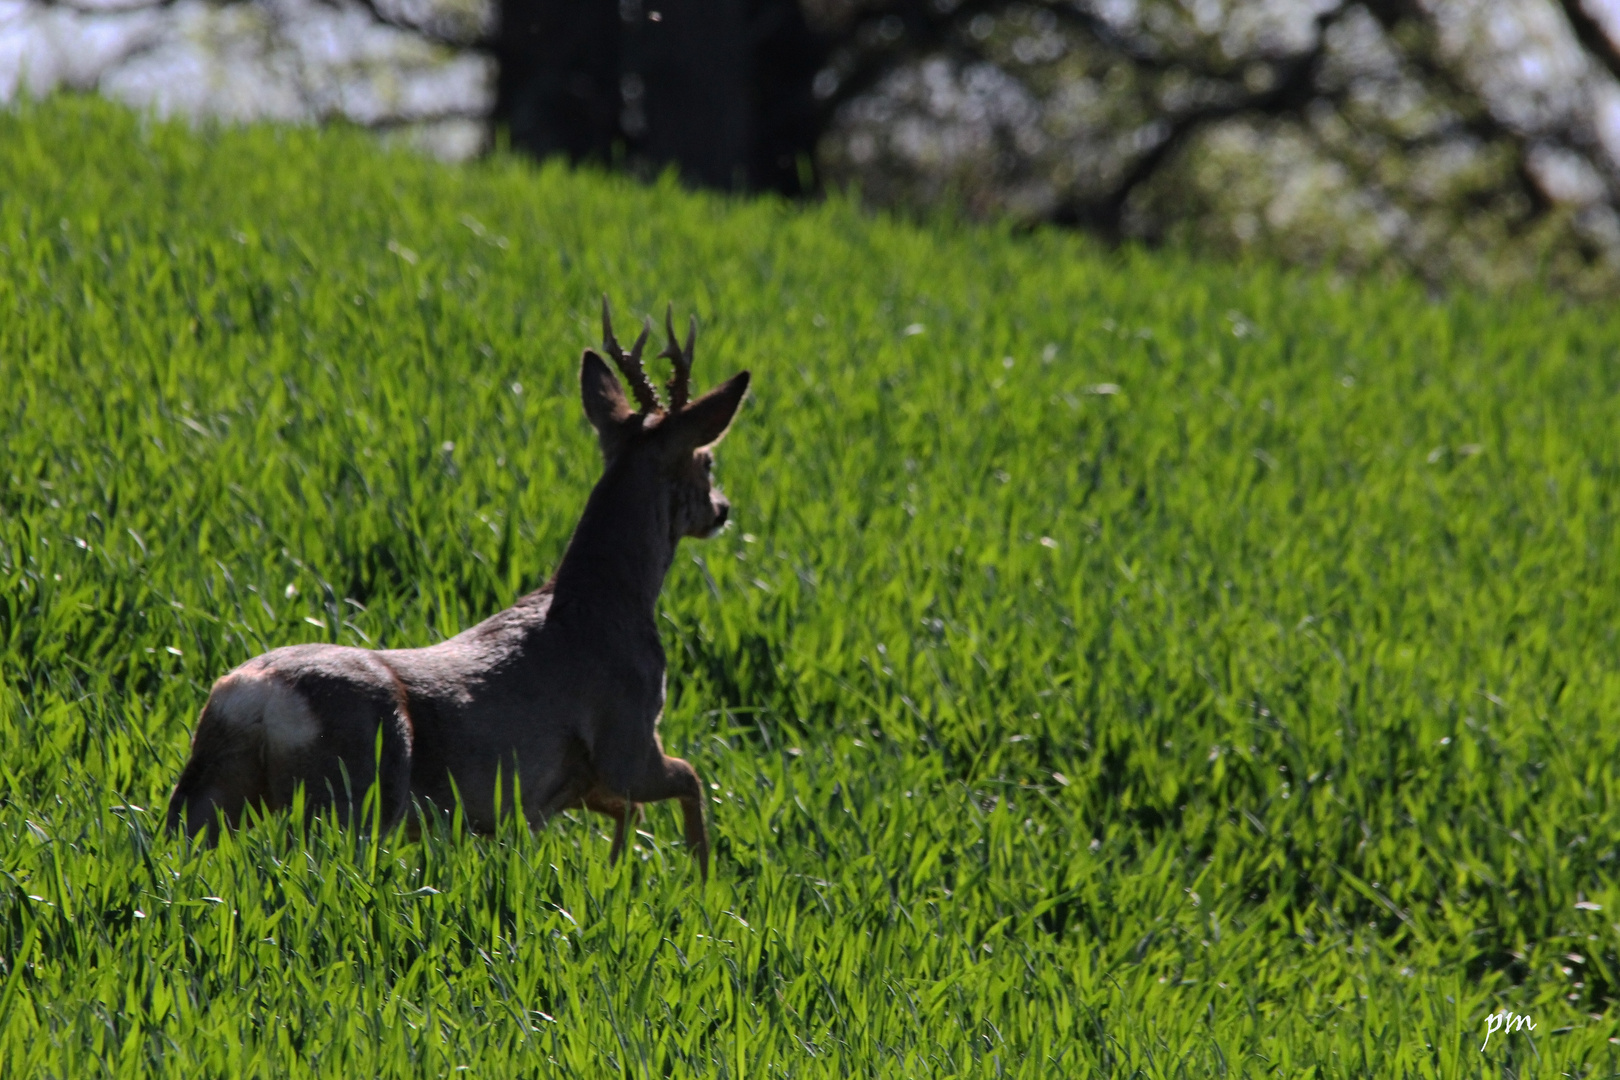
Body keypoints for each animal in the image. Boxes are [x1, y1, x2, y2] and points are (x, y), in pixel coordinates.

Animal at [164, 297, 745, 880]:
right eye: (708, 459)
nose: (722, 509)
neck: (612, 599)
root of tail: (254, 697)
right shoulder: (627, 736)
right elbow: (691, 780)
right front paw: (702, 878)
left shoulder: (571, 785)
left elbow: (629, 813)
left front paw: (620, 874)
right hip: (353, 791)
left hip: (211, 790)